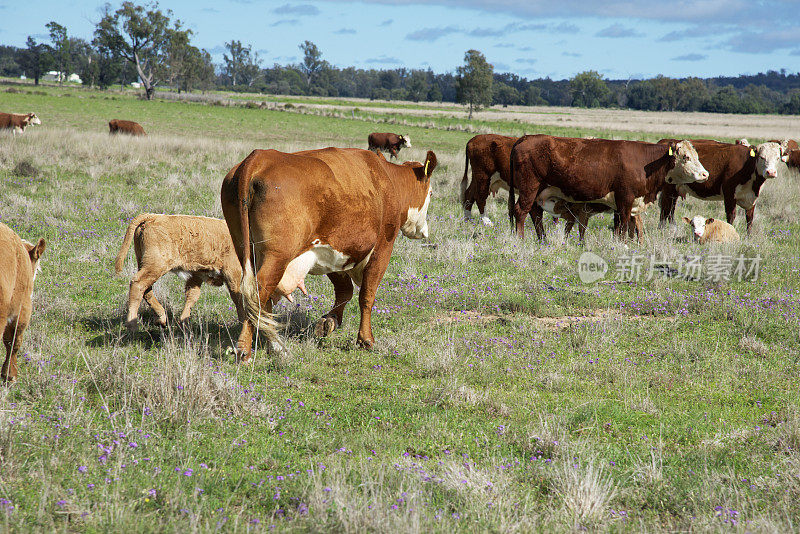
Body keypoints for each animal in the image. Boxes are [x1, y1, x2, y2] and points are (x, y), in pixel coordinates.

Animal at [220, 149, 438, 362]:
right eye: (431, 192)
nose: (424, 231)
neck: (387, 179)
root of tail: (259, 158)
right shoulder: (382, 249)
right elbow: (367, 295)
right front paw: (365, 339)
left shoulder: (331, 253)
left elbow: (344, 291)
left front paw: (329, 321)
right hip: (276, 257)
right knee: (257, 293)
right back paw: (246, 350)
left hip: (246, 249)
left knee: (259, 299)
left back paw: (276, 346)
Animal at [506, 136, 708, 241]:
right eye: (686, 157)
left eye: (697, 156)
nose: (705, 174)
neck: (647, 163)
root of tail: (526, 138)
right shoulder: (625, 197)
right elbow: (624, 223)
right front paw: (623, 244)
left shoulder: (625, 202)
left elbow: (621, 225)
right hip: (529, 186)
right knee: (521, 211)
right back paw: (520, 239)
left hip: (537, 190)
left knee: (535, 213)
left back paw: (543, 240)